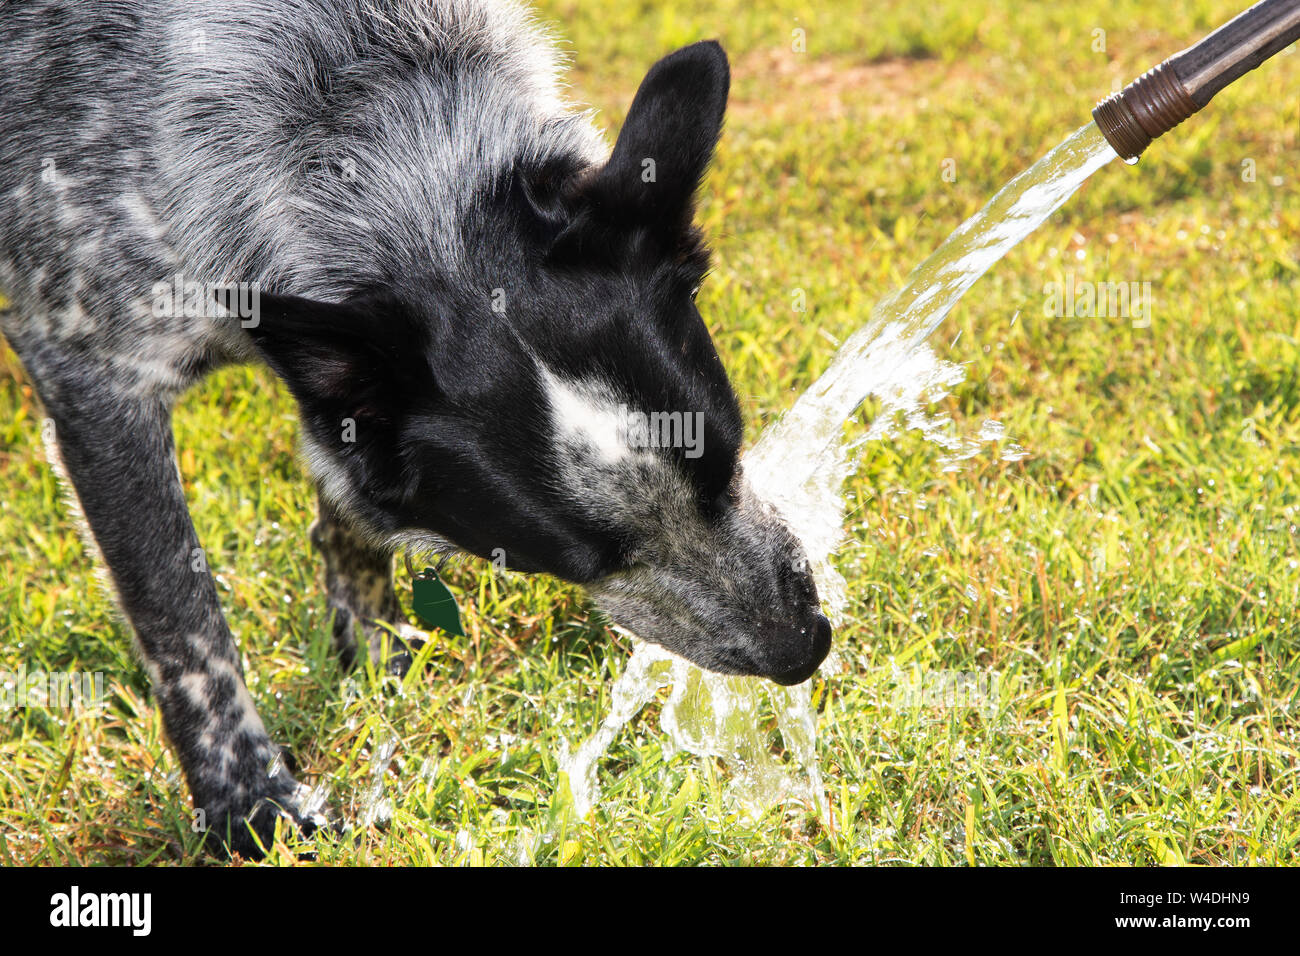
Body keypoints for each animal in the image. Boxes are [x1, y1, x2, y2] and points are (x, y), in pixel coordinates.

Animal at [0, 0, 832, 853]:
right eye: (582, 561)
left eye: (725, 461)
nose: (804, 647)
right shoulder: (99, 387)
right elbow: (182, 623)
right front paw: (251, 810)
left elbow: (346, 509)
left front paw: (374, 657)